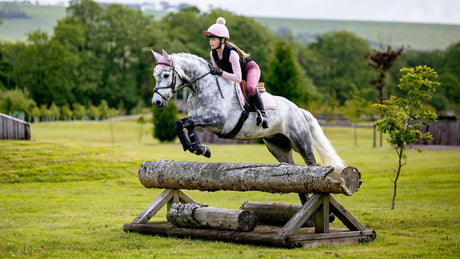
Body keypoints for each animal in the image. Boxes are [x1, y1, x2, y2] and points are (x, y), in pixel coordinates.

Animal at [149, 49, 344, 170]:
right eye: (155, 76)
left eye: (165, 75)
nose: (157, 102)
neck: (202, 86)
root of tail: (298, 110)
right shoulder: (202, 121)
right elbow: (181, 123)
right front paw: (195, 147)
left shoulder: (217, 121)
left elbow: (187, 123)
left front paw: (199, 147)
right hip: (277, 146)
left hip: (300, 141)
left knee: (312, 164)